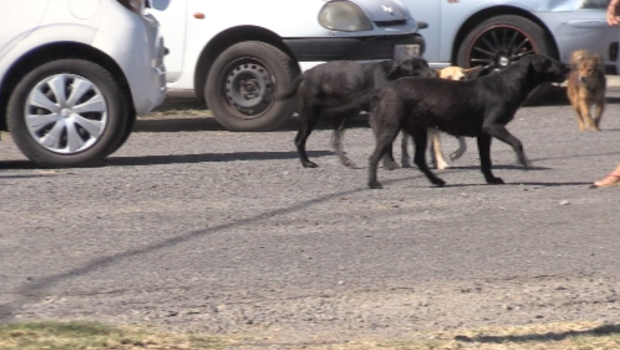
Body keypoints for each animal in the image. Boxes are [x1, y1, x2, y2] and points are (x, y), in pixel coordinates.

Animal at [276, 56, 436, 168]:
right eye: (415, 70)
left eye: (427, 64)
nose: (434, 75)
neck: (393, 77)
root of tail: (306, 74)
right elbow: (387, 142)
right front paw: (389, 164)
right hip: (311, 115)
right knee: (300, 140)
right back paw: (306, 163)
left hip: (342, 116)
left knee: (335, 141)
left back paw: (346, 162)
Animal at [340, 55, 568, 189]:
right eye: (547, 62)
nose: (567, 66)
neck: (505, 84)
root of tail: (383, 89)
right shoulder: (493, 126)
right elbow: (517, 142)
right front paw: (524, 162)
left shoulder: (484, 135)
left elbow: (486, 160)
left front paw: (491, 179)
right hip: (390, 128)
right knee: (374, 157)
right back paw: (373, 183)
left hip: (418, 131)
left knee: (419, 159)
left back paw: (437, 181)